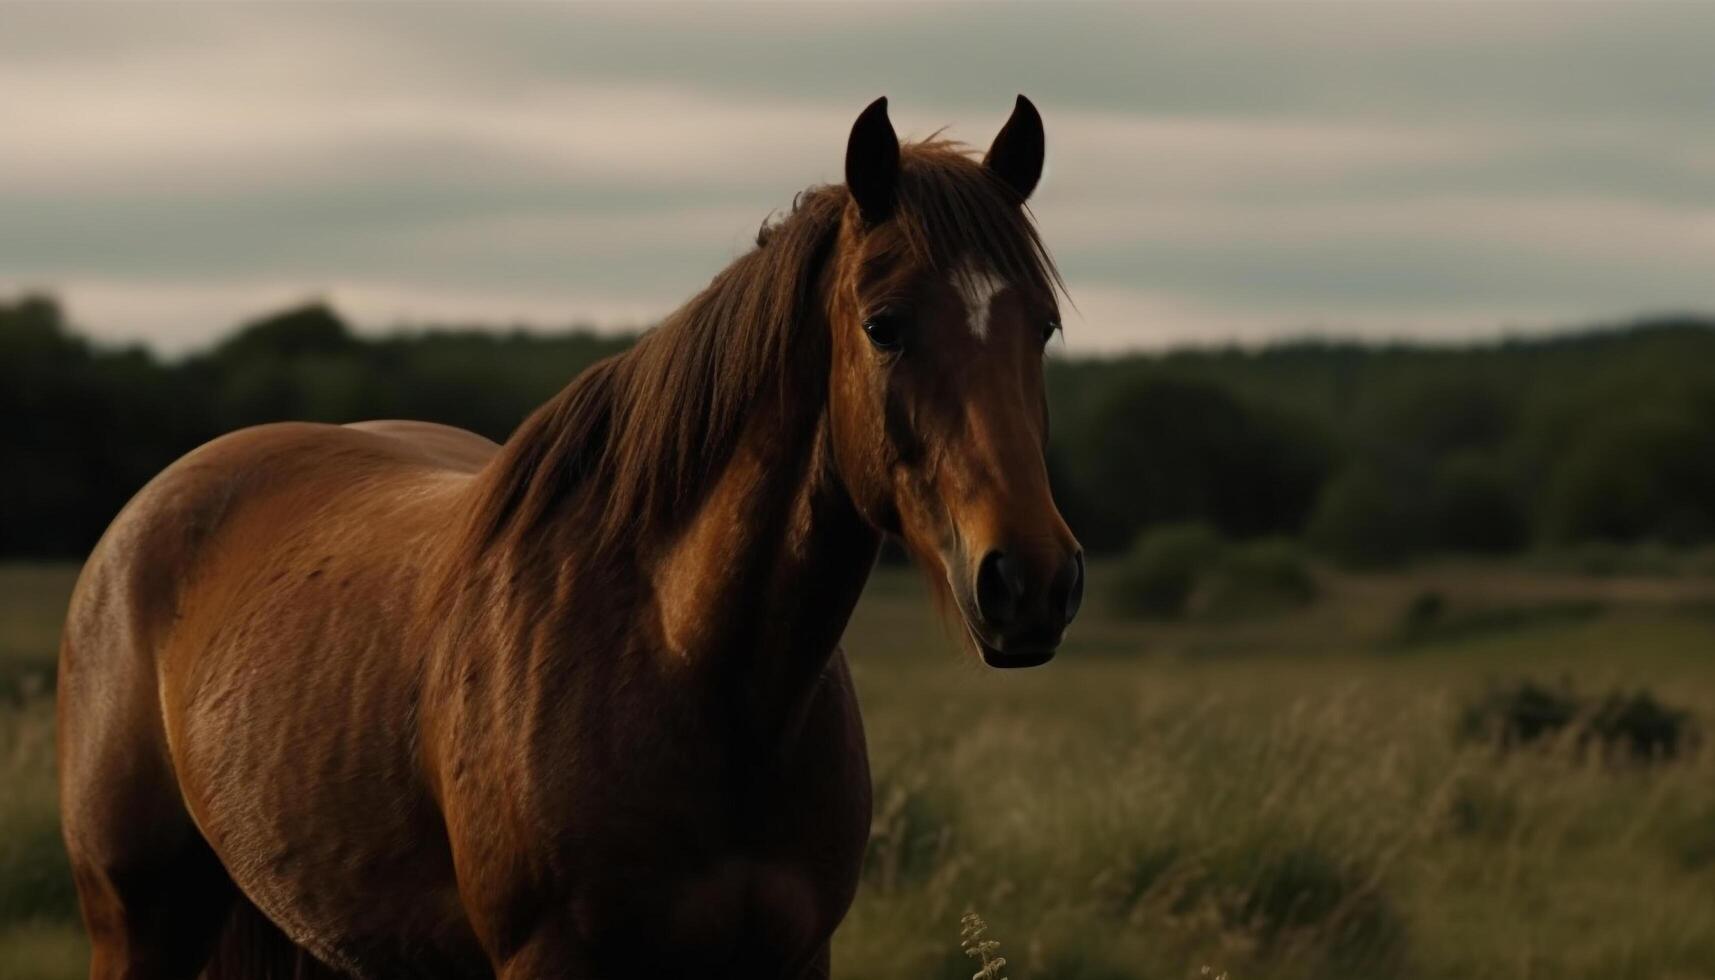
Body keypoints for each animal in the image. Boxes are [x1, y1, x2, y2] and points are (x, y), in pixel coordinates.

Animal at [60, 93, 1077, 980]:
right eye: (884, 326)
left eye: (1043, 327)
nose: (1029, 581)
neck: (686, 663)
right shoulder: (550, 958)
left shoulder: (794, 956)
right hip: (136, 927)